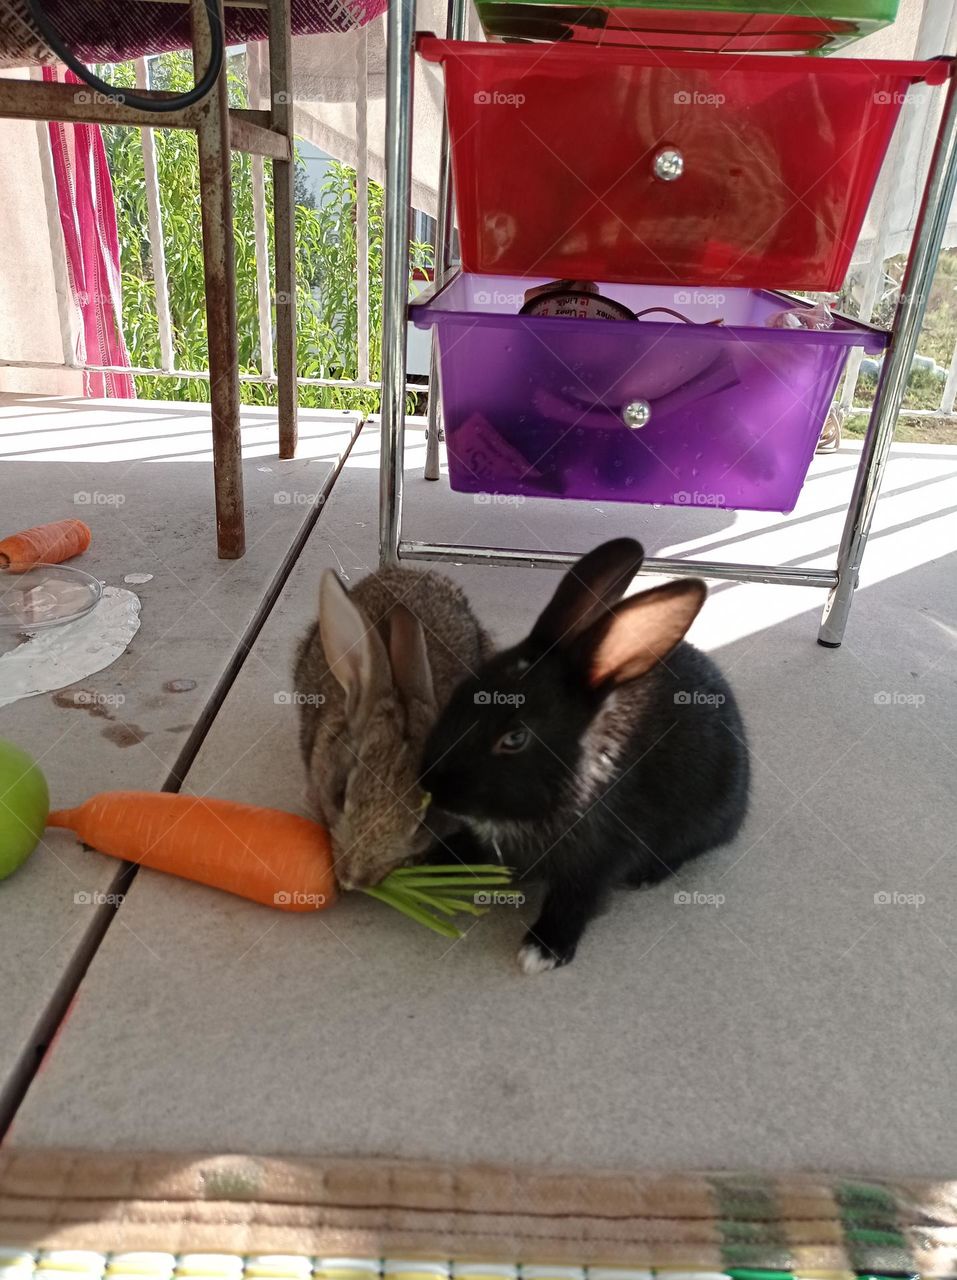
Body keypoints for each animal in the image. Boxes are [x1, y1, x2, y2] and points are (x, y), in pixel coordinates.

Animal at [420, 538, 750, 974]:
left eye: (515, 738)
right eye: (461, 692)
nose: (428, 783)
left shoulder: (598, 860)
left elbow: (575, 900)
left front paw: (542, 950)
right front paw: (429, 860)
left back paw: (646, 876)